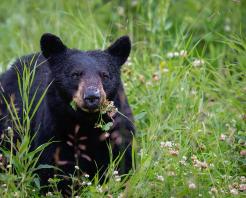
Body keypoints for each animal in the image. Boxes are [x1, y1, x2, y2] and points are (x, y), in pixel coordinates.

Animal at [0, 33, 135, 193]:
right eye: (75, 74)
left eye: (105, 75)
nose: (92, 96)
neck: (86, 122)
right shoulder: (53, 131)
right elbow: (53, 167)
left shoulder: (117, 130)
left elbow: (122, 160)